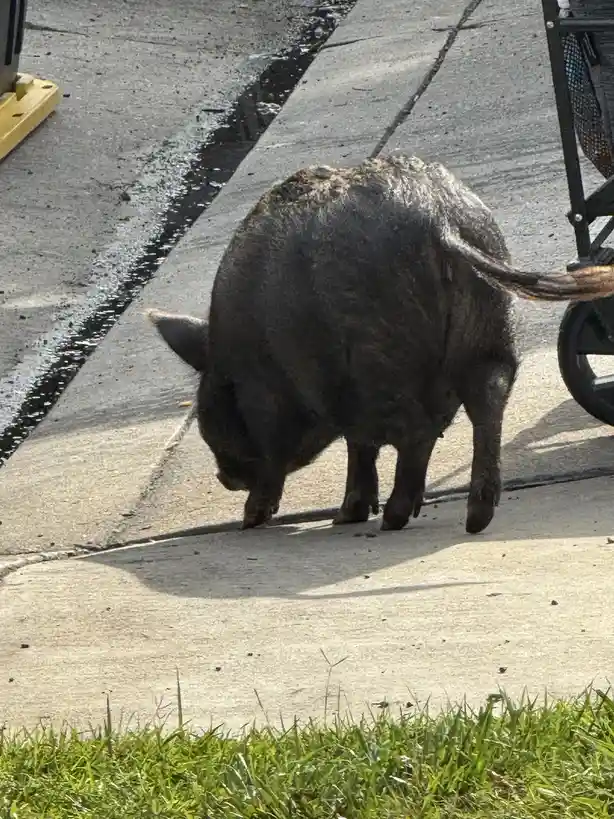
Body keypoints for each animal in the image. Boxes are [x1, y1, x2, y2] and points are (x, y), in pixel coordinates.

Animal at [147, 154, 614, 533]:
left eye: (213, 410)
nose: (223, 478)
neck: (240, 356)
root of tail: (441, 220)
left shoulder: (284, 407)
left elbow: (319, 454)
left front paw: (260, 518)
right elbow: (361, 448)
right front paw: (344, 516)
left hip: (382, 354)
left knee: (417, 431)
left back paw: (393, 518)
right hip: (490, 326)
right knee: (488, 400)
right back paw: (474, 518)